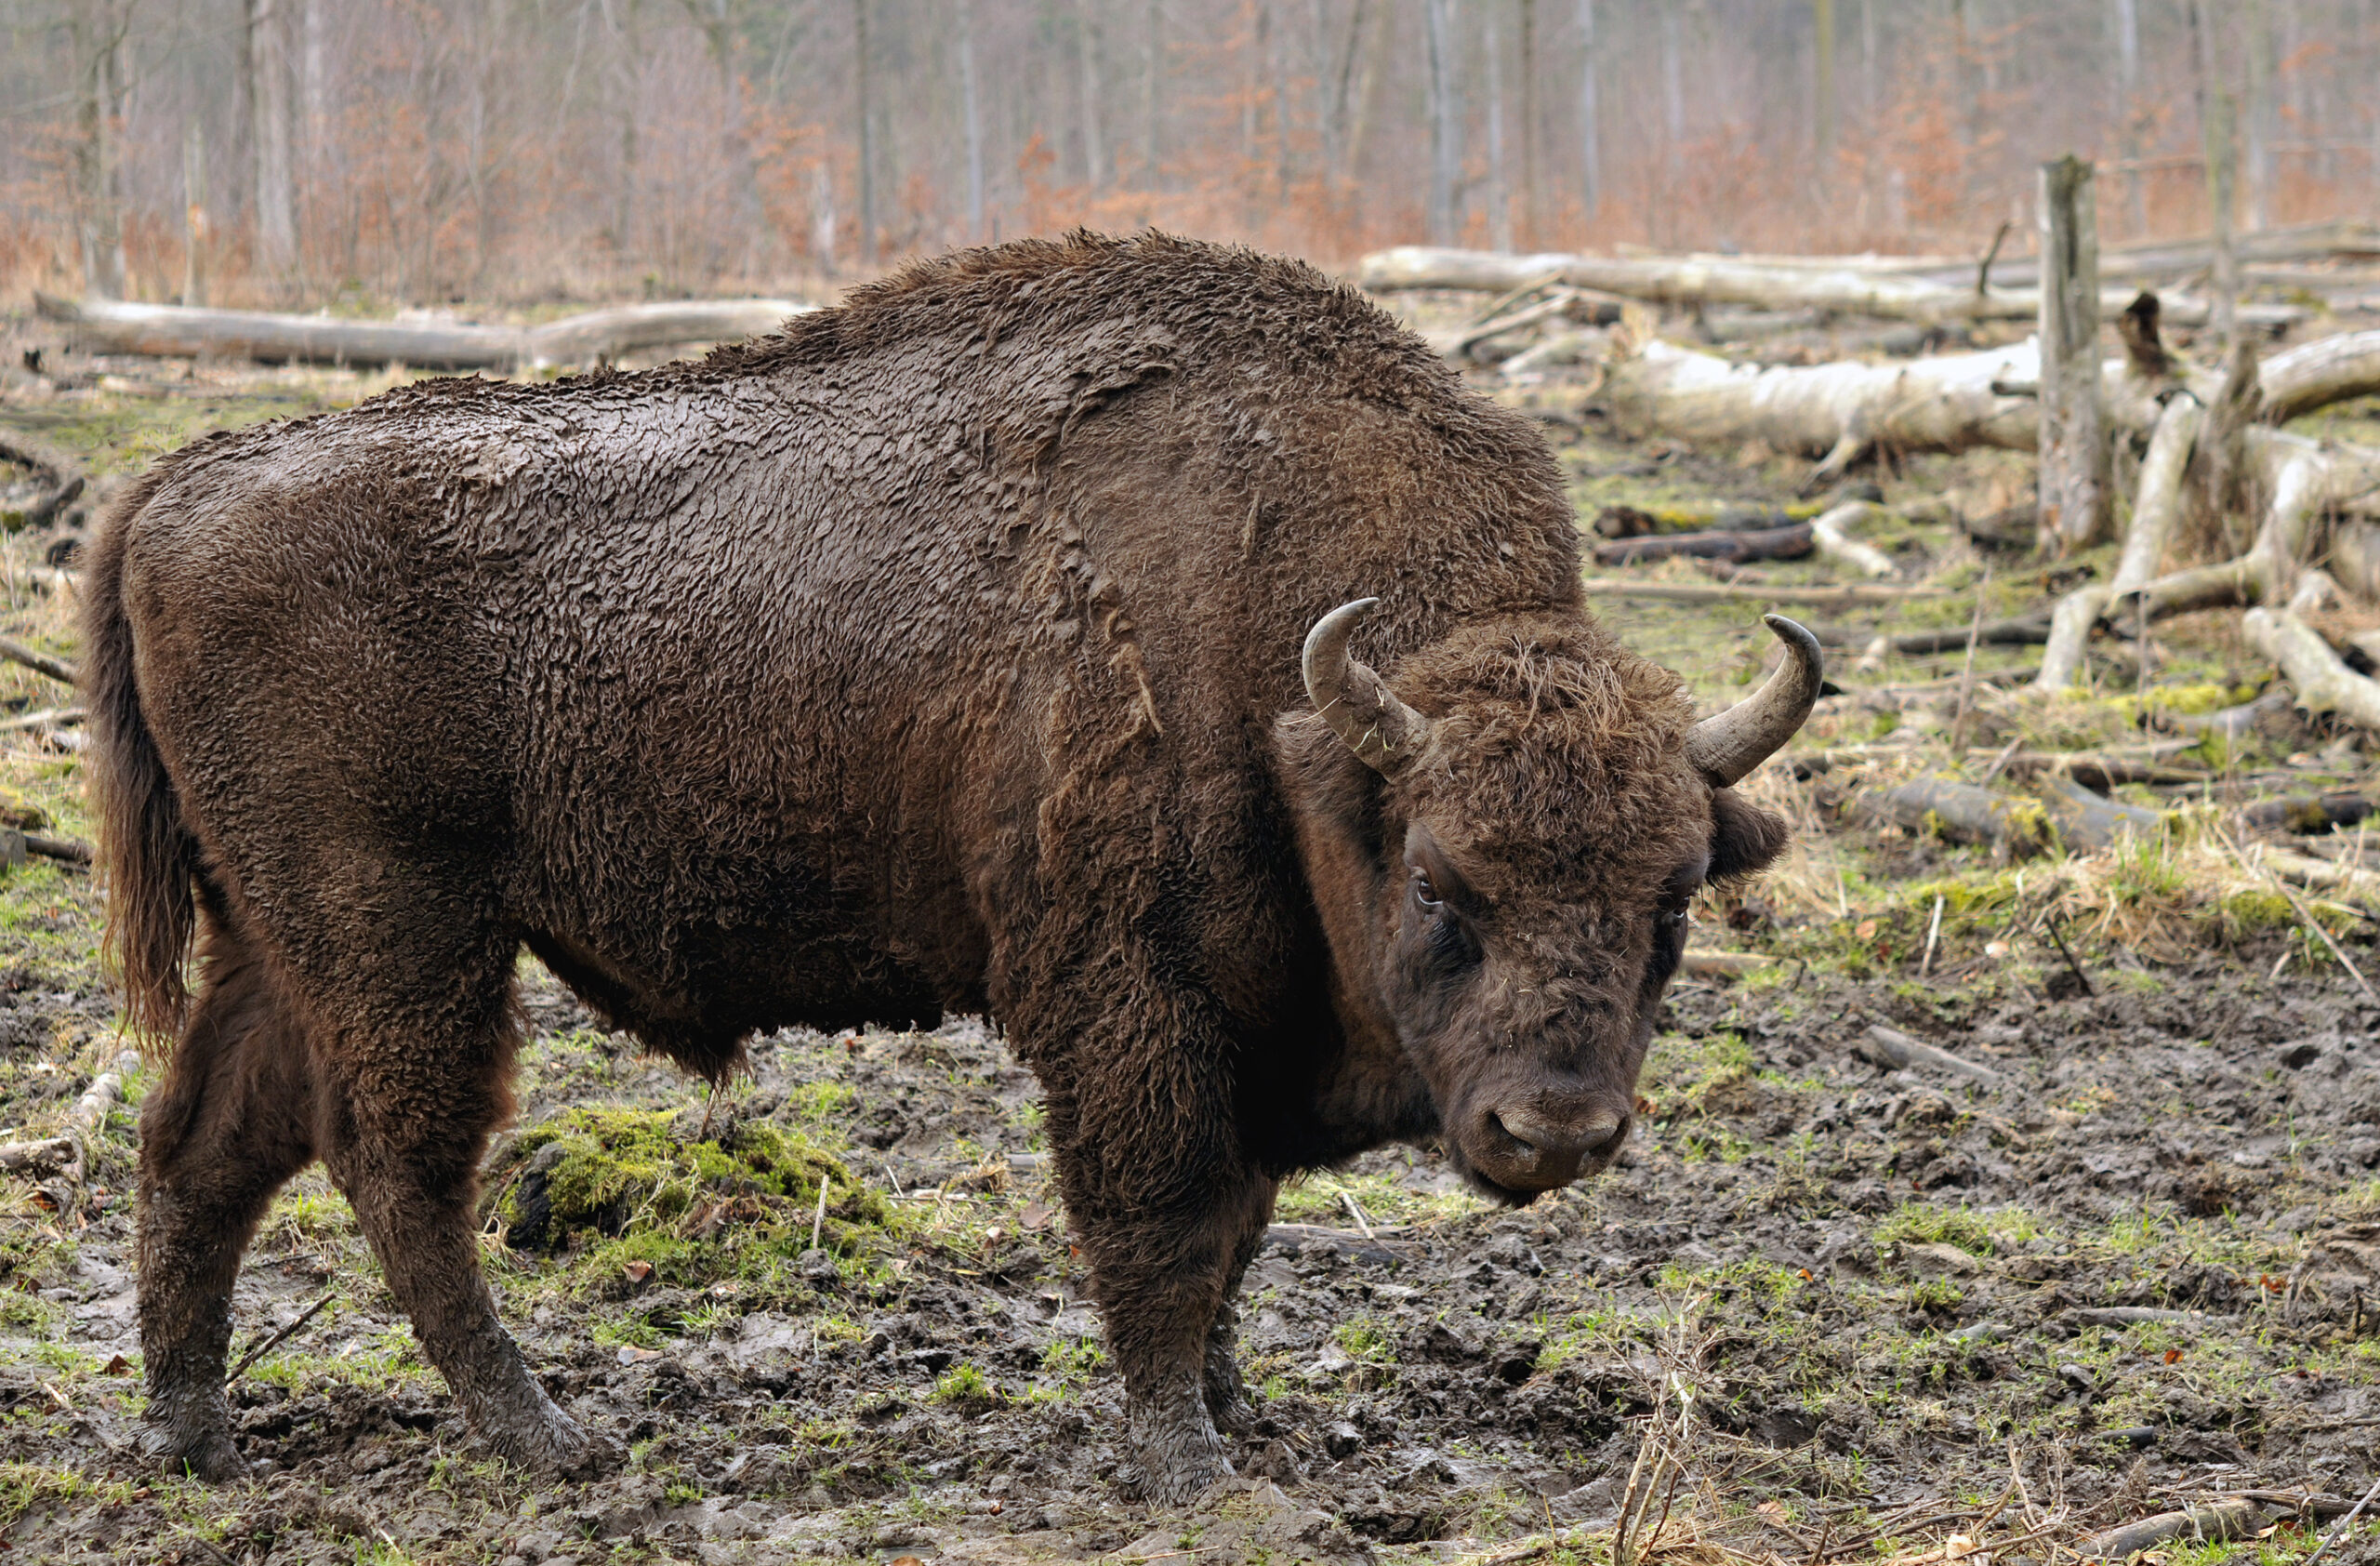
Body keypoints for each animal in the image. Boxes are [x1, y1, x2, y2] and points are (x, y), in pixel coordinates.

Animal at [86, 232, 1816, 1502]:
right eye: (1446, 882)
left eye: (1674, 899)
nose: (1558, 1127)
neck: (1301, 702)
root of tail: (175, 481)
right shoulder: (1132, 999)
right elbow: (1166, 1217)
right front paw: (1187, 1462)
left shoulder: (1244, 1023)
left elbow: (1238, 1229)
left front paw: (1236, 1411)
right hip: (402, 932)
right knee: (394, 1165)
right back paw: (552, 1439)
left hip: (279, 939)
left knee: (203, 1142)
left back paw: (193, 1437)